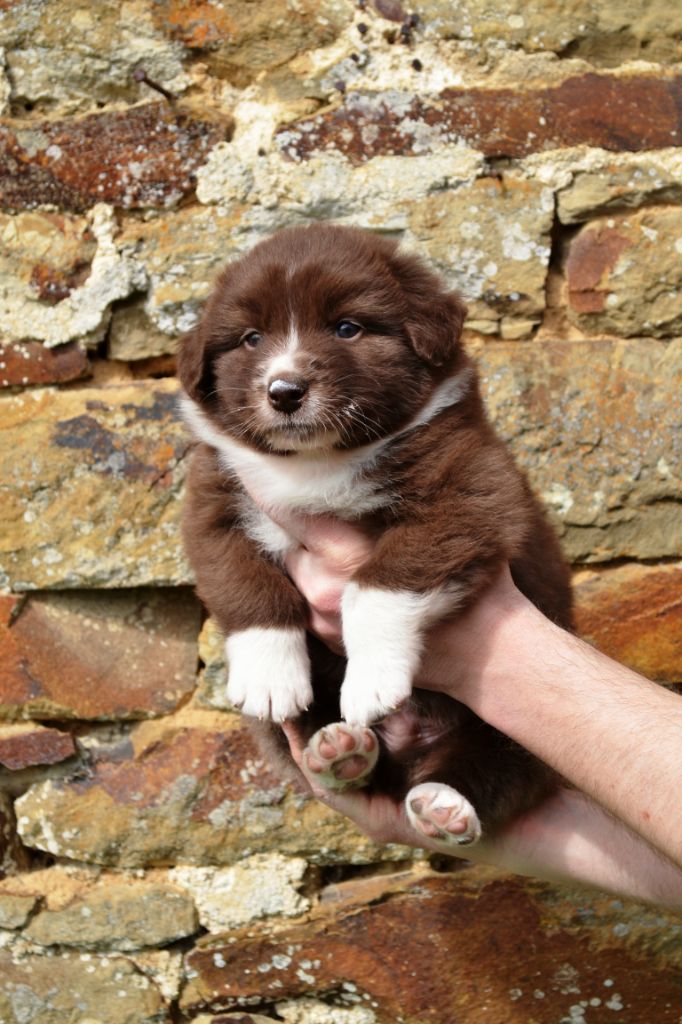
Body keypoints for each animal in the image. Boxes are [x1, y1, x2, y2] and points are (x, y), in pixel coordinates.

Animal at [178, 224, 573, 847]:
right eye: (250, 338)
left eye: (347, 328)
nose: (284, 390)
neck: (318, 463)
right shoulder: (215, 499)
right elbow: (243, 582)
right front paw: (268, 676)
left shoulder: (469, 493)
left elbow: (376, 587)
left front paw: (371, 681)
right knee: (355, 762)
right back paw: (339, 752)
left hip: (523, 718)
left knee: (501, 764)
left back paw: (445, 803)